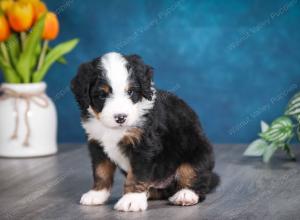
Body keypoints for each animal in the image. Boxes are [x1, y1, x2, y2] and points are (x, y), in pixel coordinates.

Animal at [71, 51, 219, 211]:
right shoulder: (97, 144)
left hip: (199, 151)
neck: (115, 130)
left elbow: (137, 174)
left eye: (130, 91)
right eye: (102, 95)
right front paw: (96, 194)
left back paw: (185, 195)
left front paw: (131, 199)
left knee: (193, 175)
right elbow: (101, 171)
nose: (120, 117)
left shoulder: (144, 147)